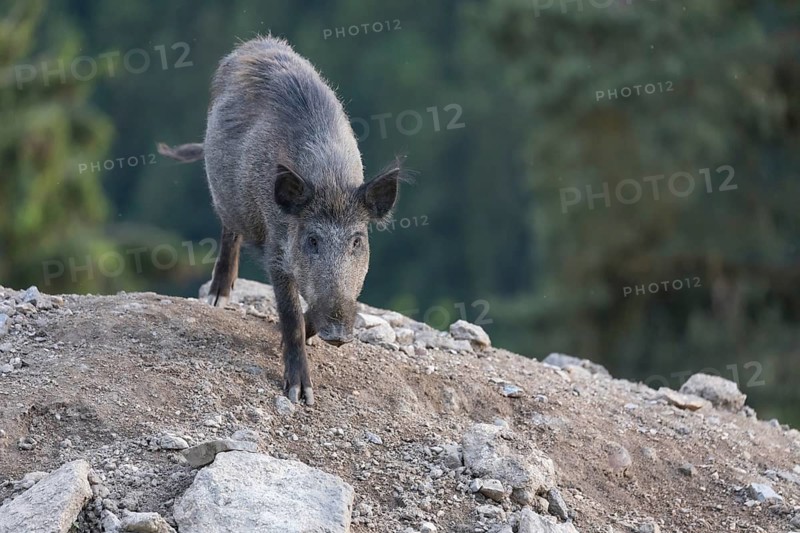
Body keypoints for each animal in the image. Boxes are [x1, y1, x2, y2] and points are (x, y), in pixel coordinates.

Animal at [158, 36, 404, 405]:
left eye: (357, 241)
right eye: (312, 240)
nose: (338, 333)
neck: (330, 181)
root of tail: (255, 43)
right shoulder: (277, 249)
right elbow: (288, 314)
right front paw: (300, 395)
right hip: (225, 196)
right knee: (229, 232)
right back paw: (217, 299)